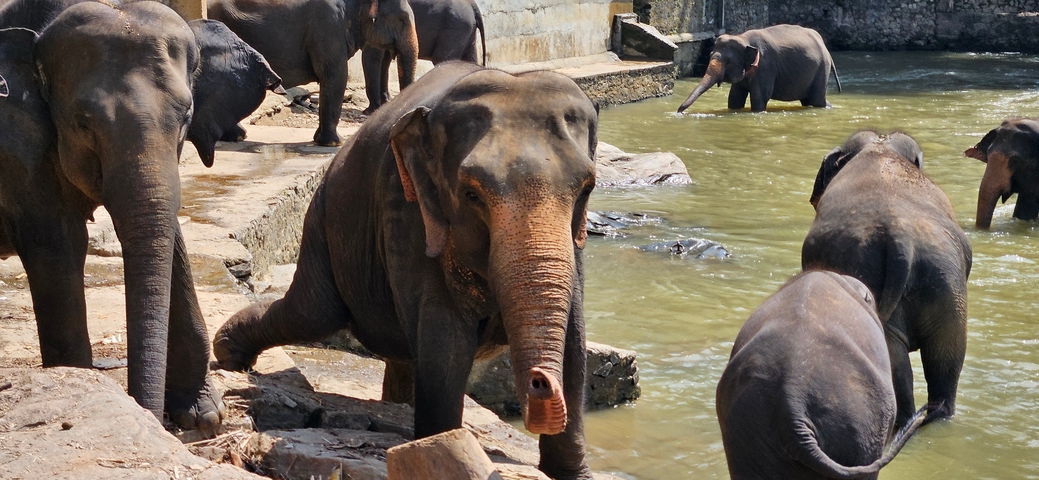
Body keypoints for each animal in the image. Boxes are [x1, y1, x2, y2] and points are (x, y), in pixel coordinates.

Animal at [0, 2, 233, 433]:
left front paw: (201, 415)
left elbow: (169, 234)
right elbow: (57, 245)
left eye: (186, 116)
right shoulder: (17, 148)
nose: (156, 420)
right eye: (82, 123)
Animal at [209, 0, 420, 147]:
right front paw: (334, 143)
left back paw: (237, 136)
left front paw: (321, 139)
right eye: (402, 19)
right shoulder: (328, 28)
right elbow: (336, 75)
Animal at [212, 62, 599, 480]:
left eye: (586, 189)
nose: (540, 383)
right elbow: (445, 343)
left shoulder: (573, 242)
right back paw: (228, 352)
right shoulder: (407, 210)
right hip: (323, 218)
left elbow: (574, 340)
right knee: (313, 312)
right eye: (471, 194)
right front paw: (443, 448)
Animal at [677, 24, 841, 113]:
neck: (743, 38)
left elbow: (759, 98)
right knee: (808, 100)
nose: (679, 111)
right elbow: (734, 98)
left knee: (816, 99)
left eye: (728, 62)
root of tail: (825, 47)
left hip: (822, 69)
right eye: (710, 55)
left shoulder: (766, 67)